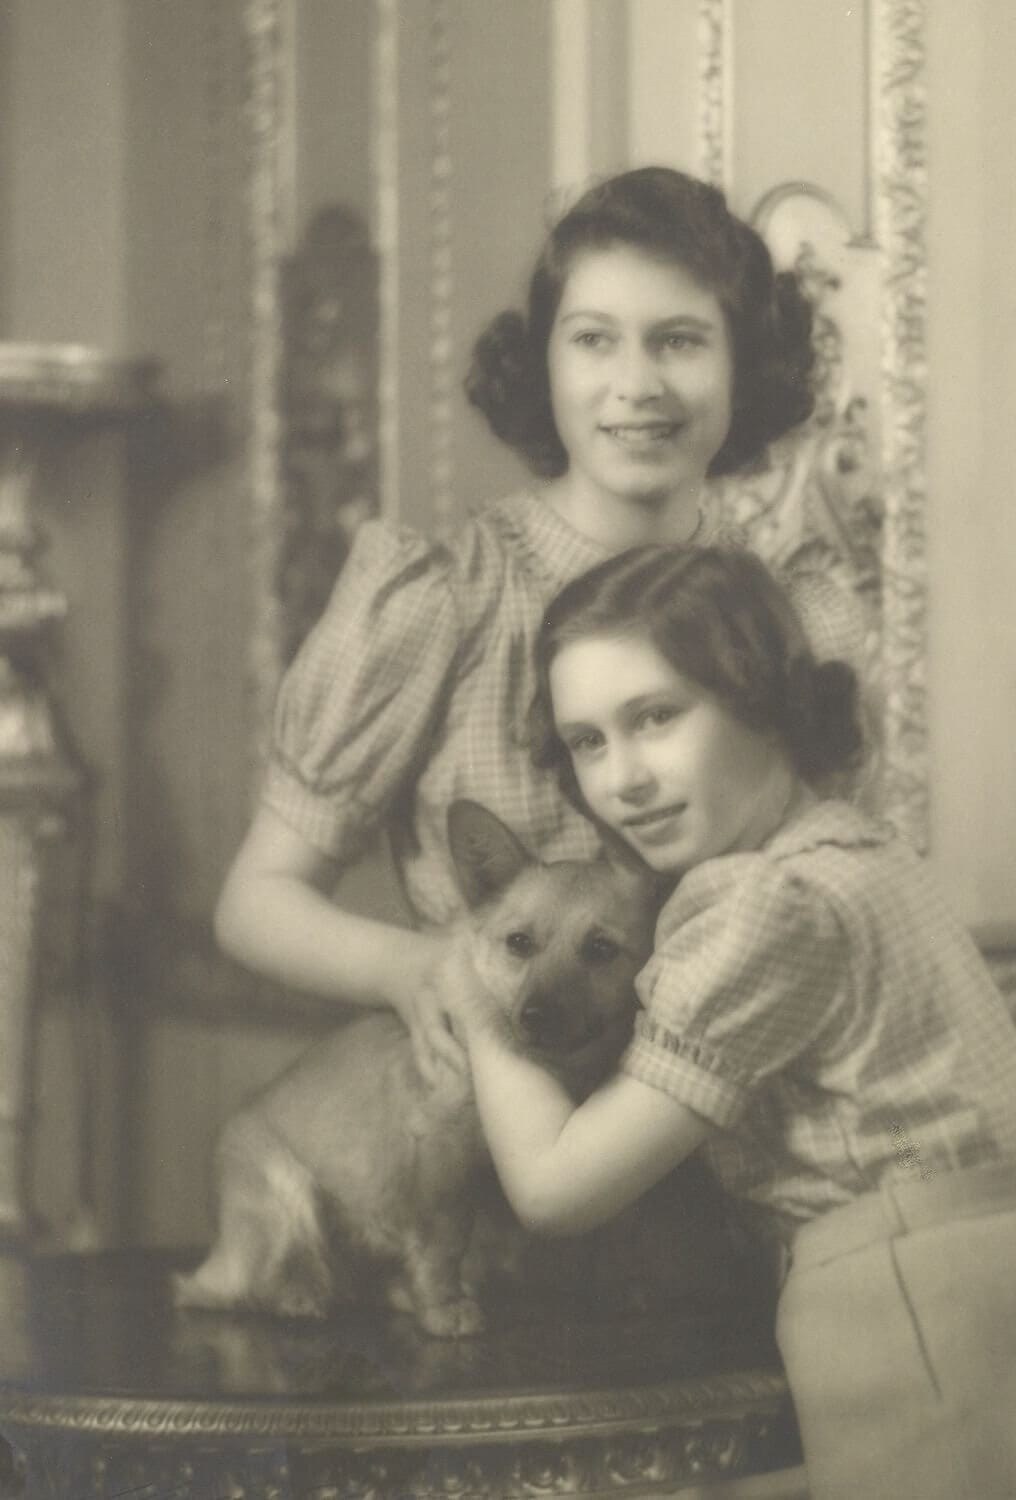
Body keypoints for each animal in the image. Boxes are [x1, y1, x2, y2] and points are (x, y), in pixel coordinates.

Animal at [170, 804, 654, 1344]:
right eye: (519, 943)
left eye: (601, 950)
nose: (534, 1016)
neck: (568, 1070)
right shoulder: (443, 1164)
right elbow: (444, 1245)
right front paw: (445, 1307)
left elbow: (614, 1231)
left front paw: (615, 1288)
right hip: (287, 1199)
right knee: (242, 1288)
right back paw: (299, 1296)